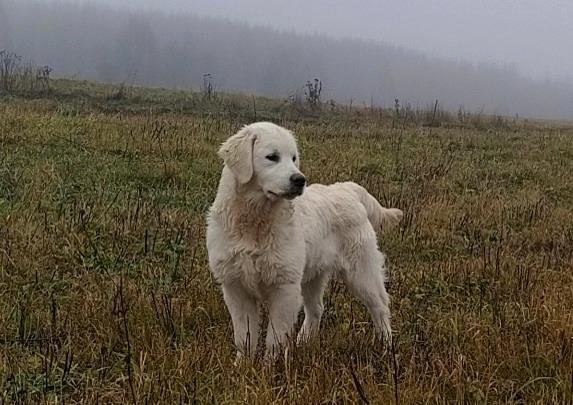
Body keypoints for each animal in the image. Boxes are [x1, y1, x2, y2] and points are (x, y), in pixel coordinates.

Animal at [207, 120, 402, 356]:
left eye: (293, 158)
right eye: (272, 157)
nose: (299, 180)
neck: (255, 223)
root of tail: (348, 188)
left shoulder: (285, 288)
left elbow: (274, 340)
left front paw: (270, 365)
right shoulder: (236, 288)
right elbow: (244, 340)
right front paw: (243, 364)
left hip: (362, 272)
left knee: (380, 306)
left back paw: (387, 347)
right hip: (314, 275)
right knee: (316, 309)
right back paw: (303, 342)